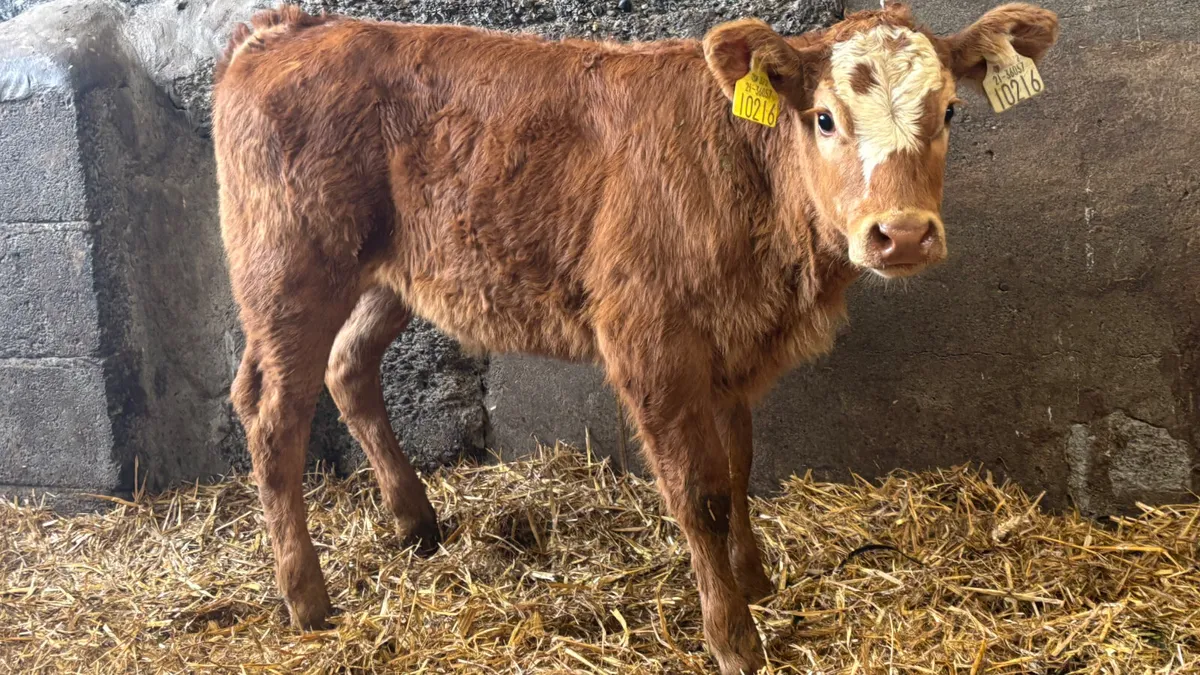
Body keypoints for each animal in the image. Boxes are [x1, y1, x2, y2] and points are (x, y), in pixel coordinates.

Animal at [212, 3, 1058, 672]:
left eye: (949, 112)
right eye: (824, 118)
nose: (903, 234)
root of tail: (288, 27)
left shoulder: (731, 342)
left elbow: (738, 470)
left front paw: (756, 580)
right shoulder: (650, 339)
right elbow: (697, 492)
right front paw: (734, 637)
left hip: (391, 271)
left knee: (349, 368)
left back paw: (417, 522)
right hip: (289, 266)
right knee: (272, 410)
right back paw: (307, 598)